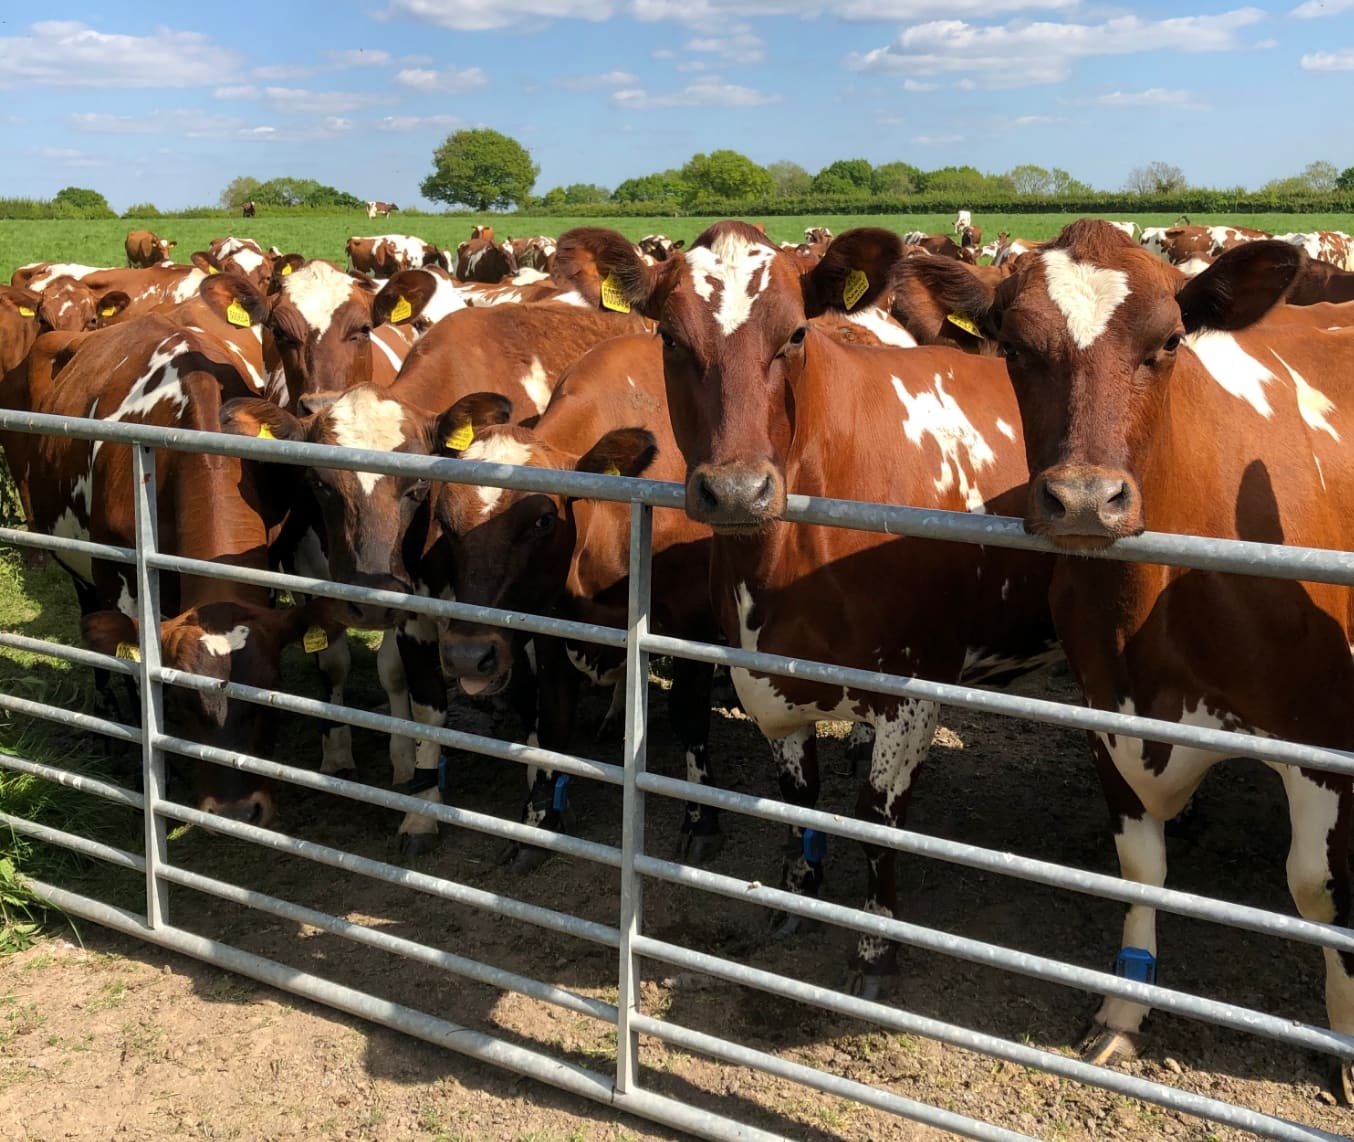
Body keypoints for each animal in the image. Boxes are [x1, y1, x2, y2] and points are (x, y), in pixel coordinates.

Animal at [552, 223, 1056, 991]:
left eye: (795, 333)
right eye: (669, 335)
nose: (736, 491)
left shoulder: (915, 692)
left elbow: (876, 819)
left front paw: (876, 947)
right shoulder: (763, 679)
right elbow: (798, 795)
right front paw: (798, 888)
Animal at [958, 219, 1354, 1105]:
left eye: (1169, 341)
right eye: (1011, 345)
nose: (1083, 499)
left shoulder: (1326, 735)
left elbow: (1318, 888)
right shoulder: (1109, 709)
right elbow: (1138, 868)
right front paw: (1123, 1013)